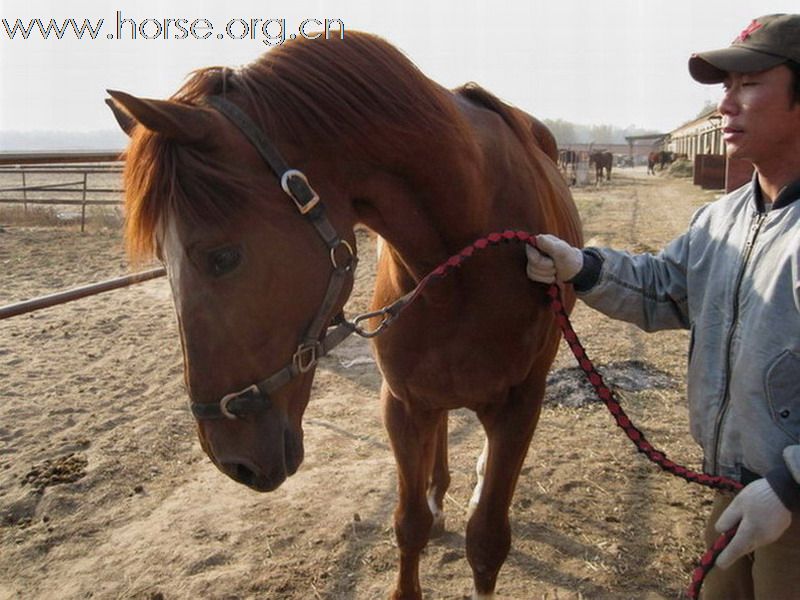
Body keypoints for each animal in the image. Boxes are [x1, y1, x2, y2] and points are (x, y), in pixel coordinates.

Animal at [108, 32, 580, 600]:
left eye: (222, 257)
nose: (232, 462)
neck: (469, 258)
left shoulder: (520, 407)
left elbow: (487, 542)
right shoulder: (402, 403)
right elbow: (409, 523)